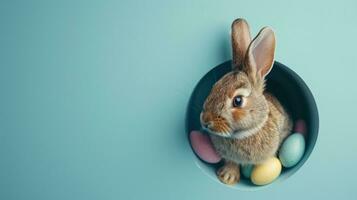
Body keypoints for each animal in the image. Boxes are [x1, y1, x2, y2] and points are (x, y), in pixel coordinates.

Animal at [199, 18, 290, 184]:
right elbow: (231, 162)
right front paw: (227, 177)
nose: (206, 121)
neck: (244, 134)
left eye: (238, 100)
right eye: (214, 87)